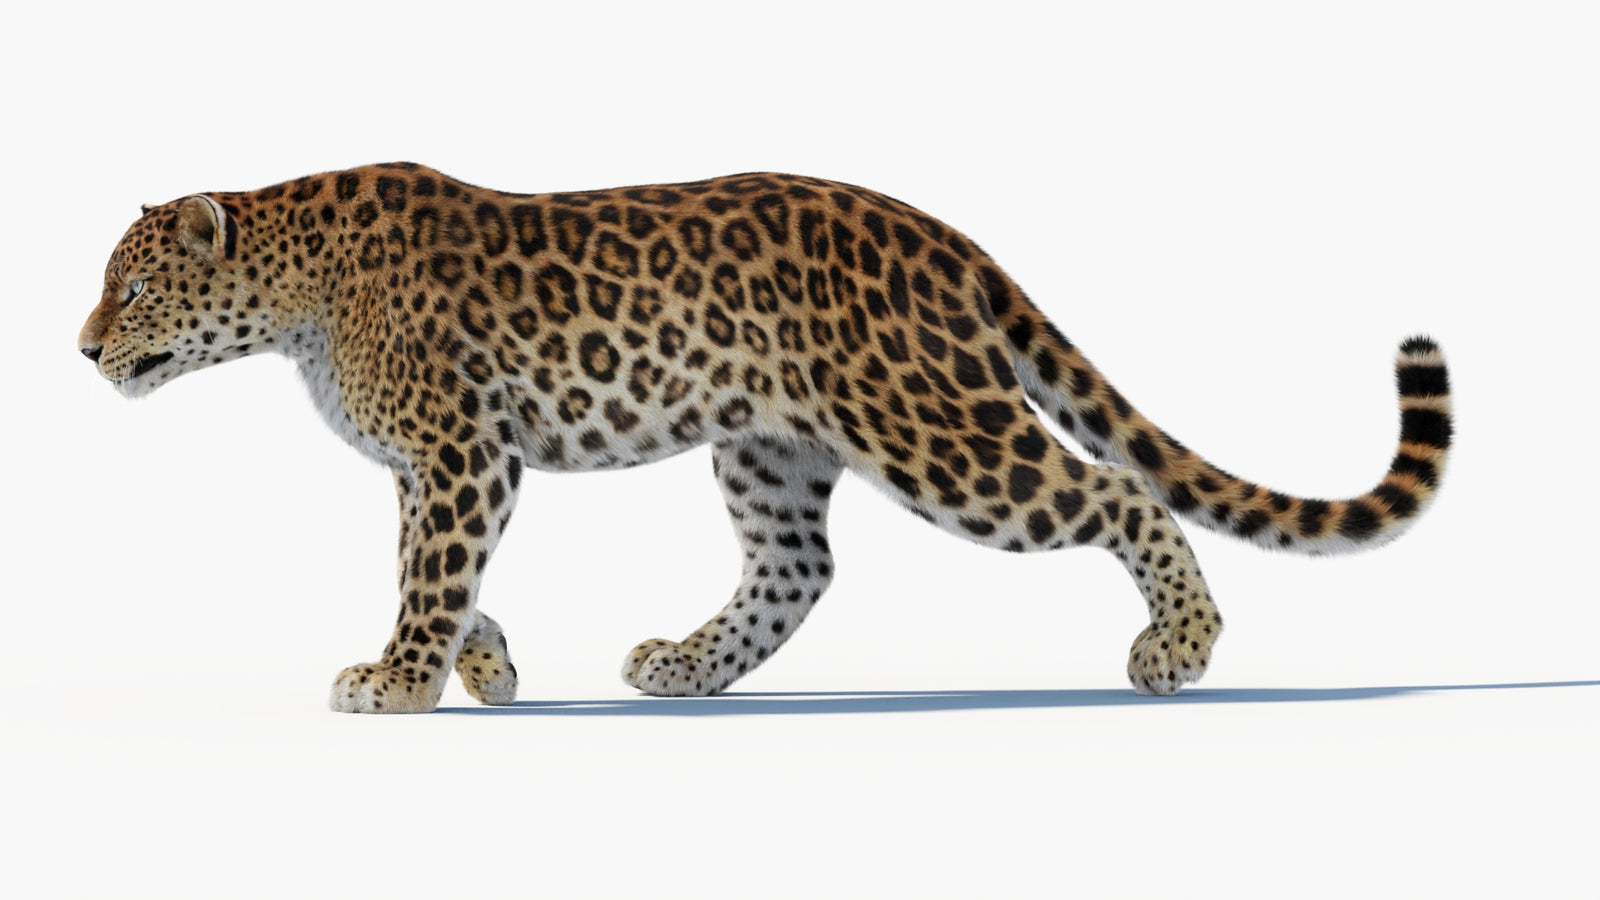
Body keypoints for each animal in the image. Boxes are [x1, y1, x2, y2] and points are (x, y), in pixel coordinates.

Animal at [78, 163, 1454, 713]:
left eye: (132, 289)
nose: (82, 349)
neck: (292, 296)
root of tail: (942, 235)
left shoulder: (462, 448)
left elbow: (430, 573)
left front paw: (402, 680)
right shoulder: (447, 461)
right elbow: (438, 569)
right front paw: (487, 666)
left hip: (938, 432)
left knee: (1116, 488)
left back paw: (1177, 647)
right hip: (770, 449)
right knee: (800, 566)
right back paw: (684, 666)